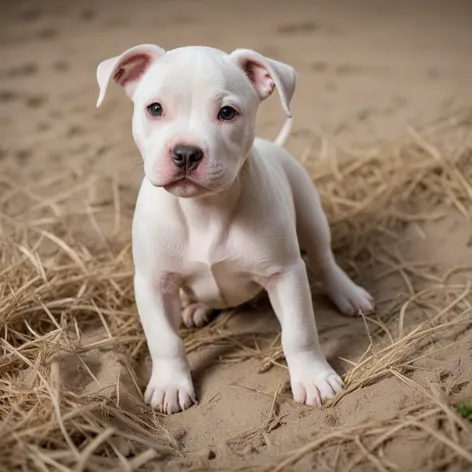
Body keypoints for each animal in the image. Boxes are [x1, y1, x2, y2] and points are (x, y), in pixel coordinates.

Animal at [96, 43, 374, 412]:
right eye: (154, 109)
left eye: (227, 113)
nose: (186, 153)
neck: (203, 210)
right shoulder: (152, 283)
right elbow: (164, 340)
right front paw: (170, 384)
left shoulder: (285, 274)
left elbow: (298, 332)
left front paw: (312, 377)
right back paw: (195, 307)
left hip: (309, 212)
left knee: (323, 258)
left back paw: (347, 292)